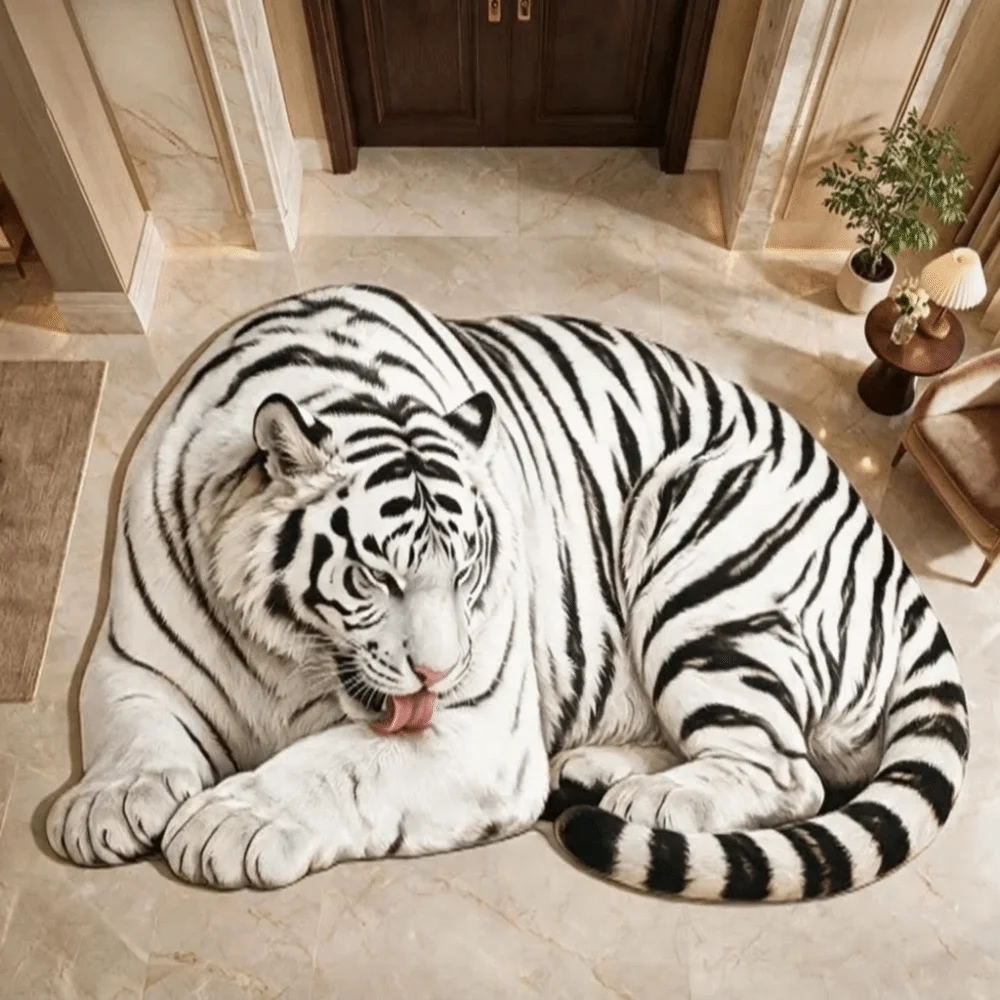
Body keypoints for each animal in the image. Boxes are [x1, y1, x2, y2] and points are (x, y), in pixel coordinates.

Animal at [46, 282, 968, 901]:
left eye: (465, 572)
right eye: (374, 575)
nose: (437, 674)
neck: (288, 652)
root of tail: (894, 560)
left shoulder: (479, 729)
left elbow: (341, 764)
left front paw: (231, 820)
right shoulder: (132, 656)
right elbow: (130, 728)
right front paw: (106, 804)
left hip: (702, 558)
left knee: (789, 771)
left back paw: (653, 797)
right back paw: (599, 770)